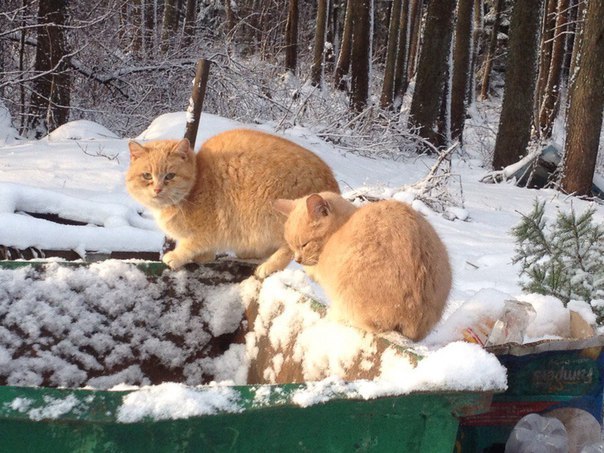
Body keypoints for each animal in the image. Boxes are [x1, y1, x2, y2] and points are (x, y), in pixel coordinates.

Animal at [125, 127, 340, 276]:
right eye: (147, 176)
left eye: (170, 176)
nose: (157, 189)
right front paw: (205, 257)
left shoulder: (208, 231)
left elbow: (190, 245)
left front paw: (176, 257)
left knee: (290, 249)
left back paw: (267, 267)